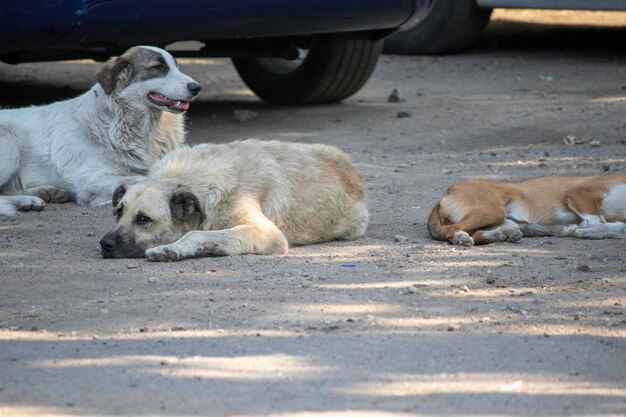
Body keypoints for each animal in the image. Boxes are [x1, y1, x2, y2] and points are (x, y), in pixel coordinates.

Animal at [0, 45, 200, 216]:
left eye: (176, 67)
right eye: (158, 67)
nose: (196, 88)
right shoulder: (89, 182)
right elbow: (140, 179)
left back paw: (42, 193)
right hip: (11, 144)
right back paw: (26, 200)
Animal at [100, 140, 368, 260]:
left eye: (144, 219)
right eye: (118, 212)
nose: (105, 244)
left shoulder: (268, 234)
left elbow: (197, 233)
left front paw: (172, 248)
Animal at [426, 174, 624, 245]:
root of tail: (448, 191)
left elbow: (620, 227)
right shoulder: (579, 194)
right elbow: (599, 221)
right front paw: (587, 230)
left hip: (504, 221)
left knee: (479, 234)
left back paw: (504, 235)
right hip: (492, 211)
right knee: (450, 230)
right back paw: (461, 239)